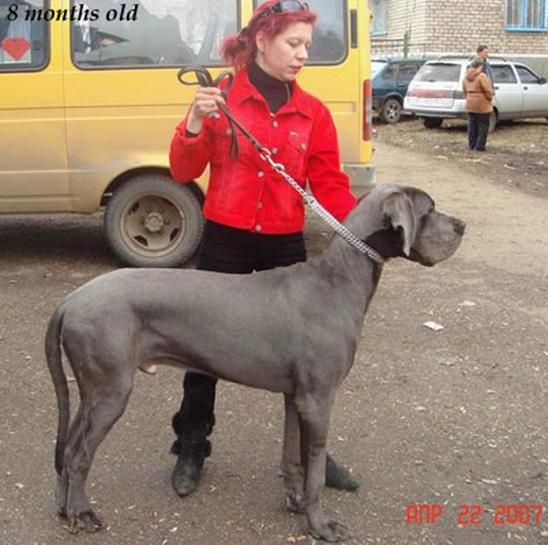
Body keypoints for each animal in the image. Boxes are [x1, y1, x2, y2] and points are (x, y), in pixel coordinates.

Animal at [45, 183, 465, 541]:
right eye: (429, 210)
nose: (462, 225)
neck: (337, 279)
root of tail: (70, 300)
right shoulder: (319, 399)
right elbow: (313, 470)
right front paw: (320, 525)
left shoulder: (296, 398)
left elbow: (292, 457)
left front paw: (295, 502)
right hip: (112, 390)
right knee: (79, 455)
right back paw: (83, 514)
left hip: (93, 391)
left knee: (68, 448)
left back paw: (65, 510)